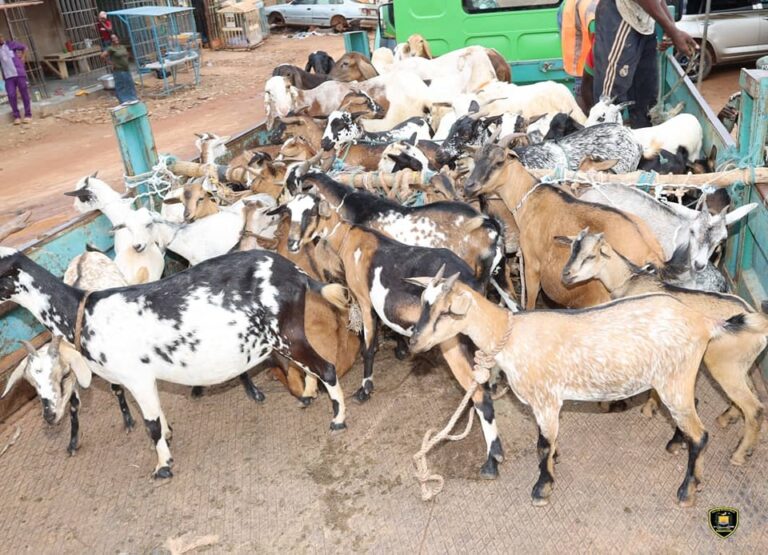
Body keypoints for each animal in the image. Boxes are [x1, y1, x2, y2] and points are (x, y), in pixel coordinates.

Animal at [0, 247, 351, 478]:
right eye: (30, 383)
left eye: (62, 377)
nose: (48, 417)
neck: (83, 312)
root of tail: (294, 271)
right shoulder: (142, 379)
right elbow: (158, 417)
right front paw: (168, 439)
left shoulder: (136, 376)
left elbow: (151, 424)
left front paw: (163, 466)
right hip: (287, 334)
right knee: (310, 366)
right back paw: (308, 395)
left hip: (285, 333)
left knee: (326, 367)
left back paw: (337, 419)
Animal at [274, 194, 505, 478]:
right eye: (289, 212)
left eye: (311, 212)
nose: (293, 243)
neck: (350, 238)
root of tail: (472, 283)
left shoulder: (363, 300)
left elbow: (368, 346)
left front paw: (364, 389)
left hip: (451, 341)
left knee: (480, 394)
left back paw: (491, 461)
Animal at [407, 270, 761, 506]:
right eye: (423, 304)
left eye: (447, 311)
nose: (413, 342)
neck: (510, 335)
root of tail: (703, 321)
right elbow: (549, 443)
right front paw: (553, 465)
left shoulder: (546, 400)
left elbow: (542, 446)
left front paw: (542, 487)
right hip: (675, 378)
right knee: (693, 410)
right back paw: (676, 444)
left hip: (676, 378)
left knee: (701, 434)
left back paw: (687, 490)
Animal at [464, 142, 665, 308]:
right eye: (475, 158)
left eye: (499, 162)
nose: (469, 186)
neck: (529, 198)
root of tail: (650, 251)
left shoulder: (532, 262)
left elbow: (531, 299)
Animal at [558, 228, 766, 465]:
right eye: (572, 248)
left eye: (591, 255)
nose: (566, 275)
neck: (629, 281)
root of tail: (756, 319)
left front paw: (643, 407)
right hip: (741, 364)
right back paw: (726, 419)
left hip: (723, 364)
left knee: (754, 408)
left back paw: (739, 455)